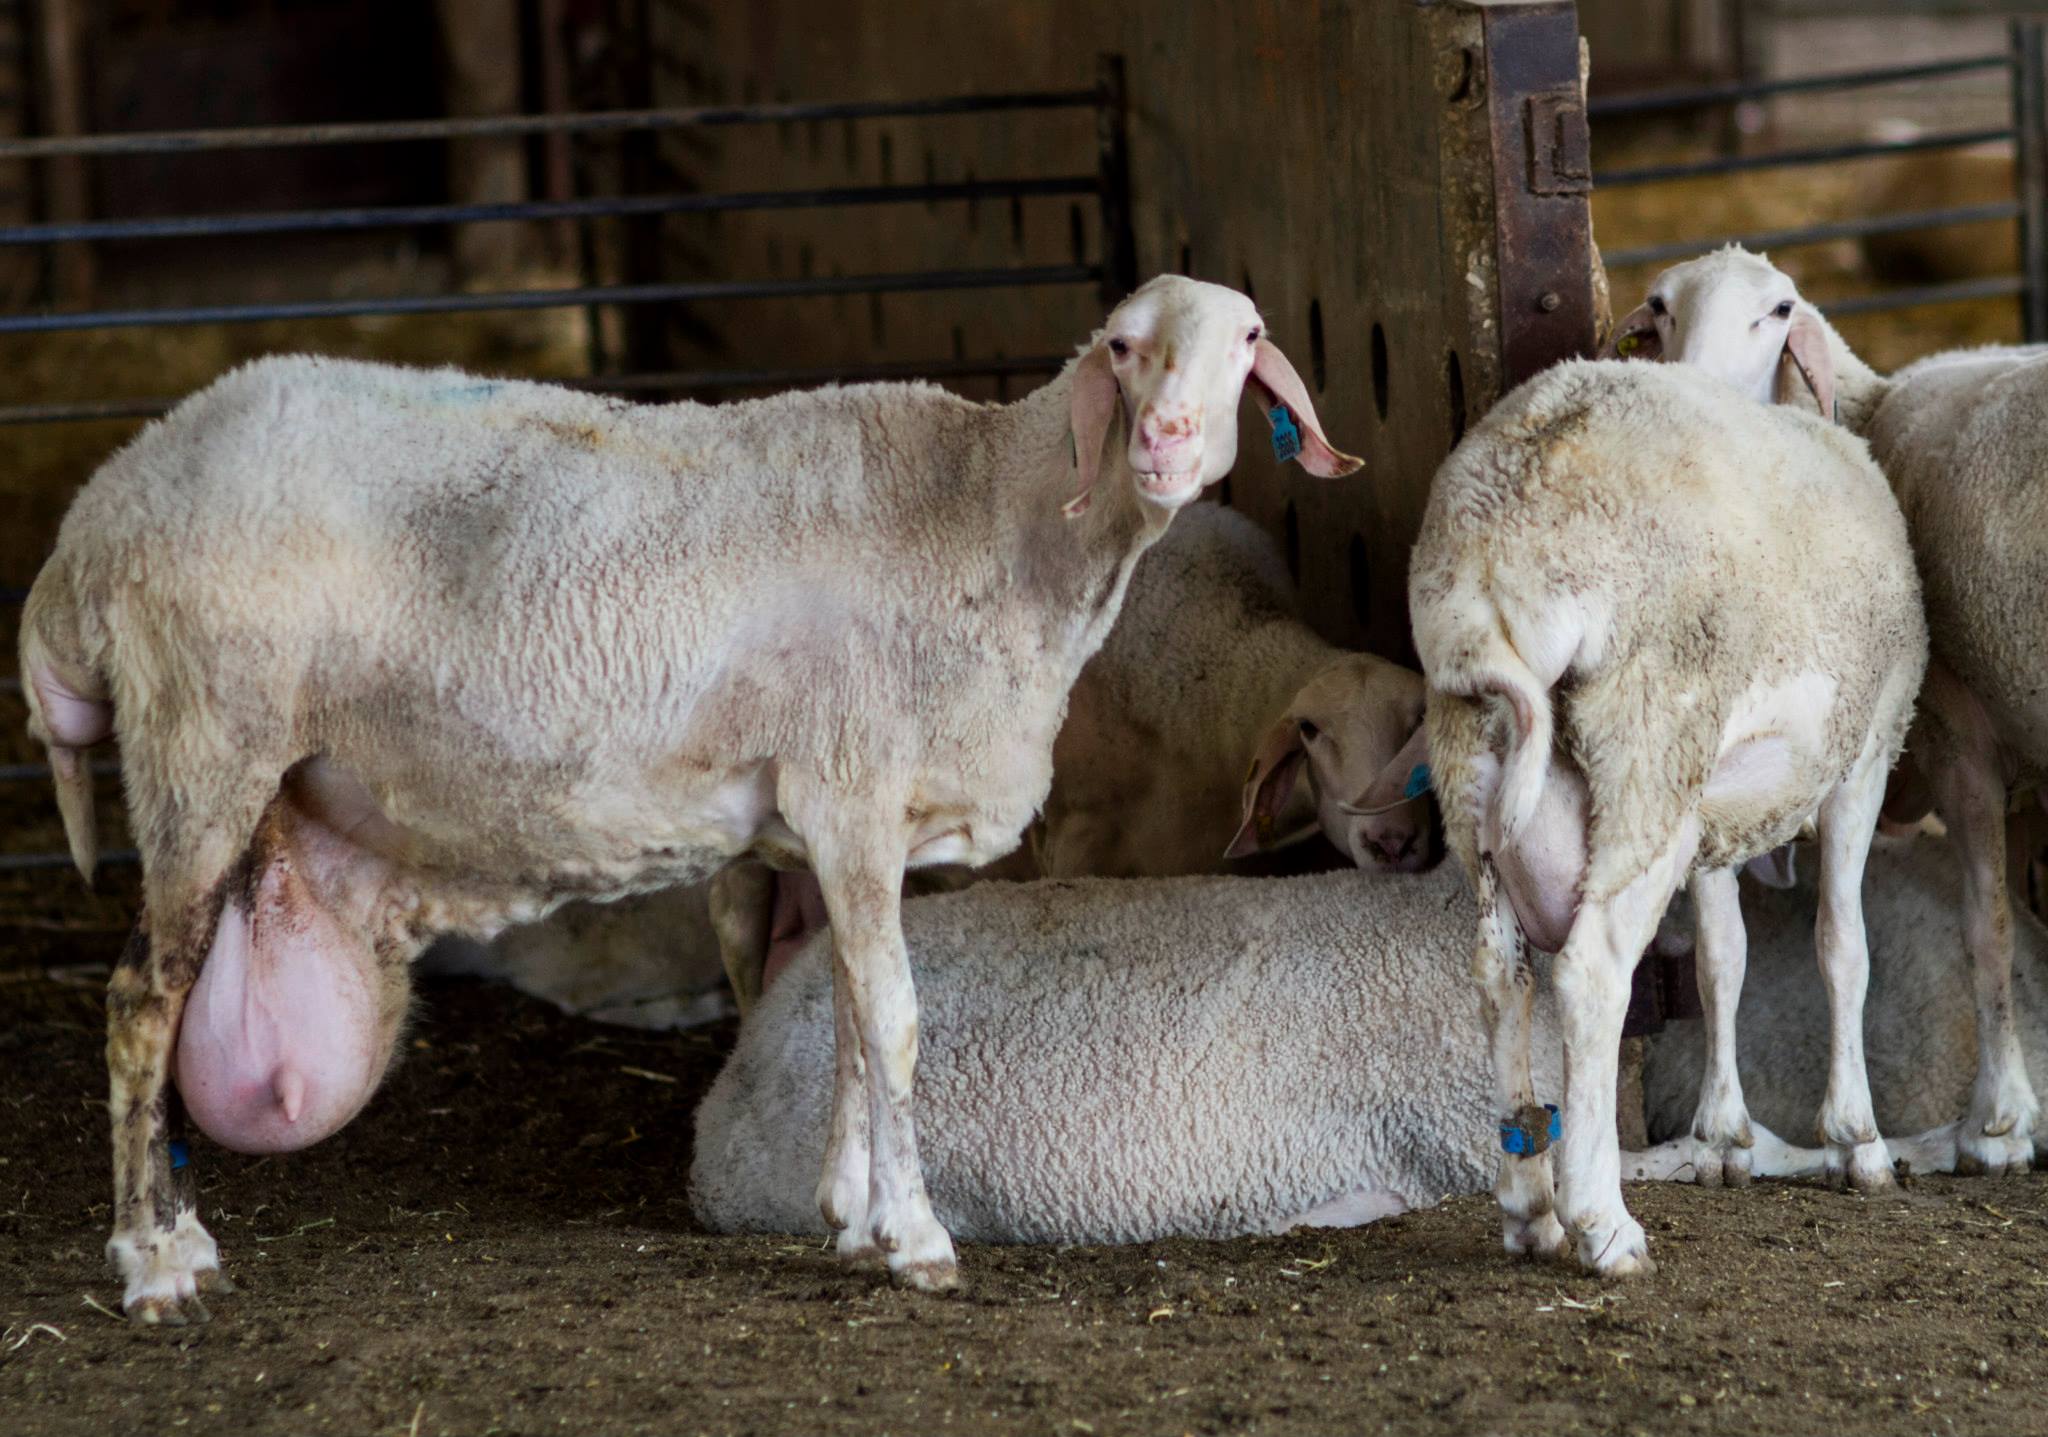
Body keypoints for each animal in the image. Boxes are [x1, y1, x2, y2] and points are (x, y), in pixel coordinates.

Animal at [19, 276, 1359, 1326]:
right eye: (1122, 346)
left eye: (1245, 339)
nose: (1165, 443)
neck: (996, 516)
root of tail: (100, 511)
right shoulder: (853, 786)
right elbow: (895, 1018)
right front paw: (920, 1242)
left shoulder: (835, 825)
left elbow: (842, 1011)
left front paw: (852, 1214)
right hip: (201, 738)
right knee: (141, 1001)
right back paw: (154, 1263)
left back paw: (182, 1235)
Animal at [1400, 354, 1925, 1277]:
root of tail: (1491, 566)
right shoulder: (1864, 756)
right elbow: (1843, 947)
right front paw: (1857, 1141)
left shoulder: (1713, 822)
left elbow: (1722, 958)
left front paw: (1725, 1135)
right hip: (1648, 744)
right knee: (1591, 973)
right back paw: (1603, 1224)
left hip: (1482, 771)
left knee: (1500, 978)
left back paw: (1530, 1211)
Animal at [1605, 241, 2048, 1179]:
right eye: (1659, 304)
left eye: (1779, 311)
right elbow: (1723, 953)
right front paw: (1723, 1130)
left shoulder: (1926, 746)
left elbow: (1928, 934)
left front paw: (1947, 1126)